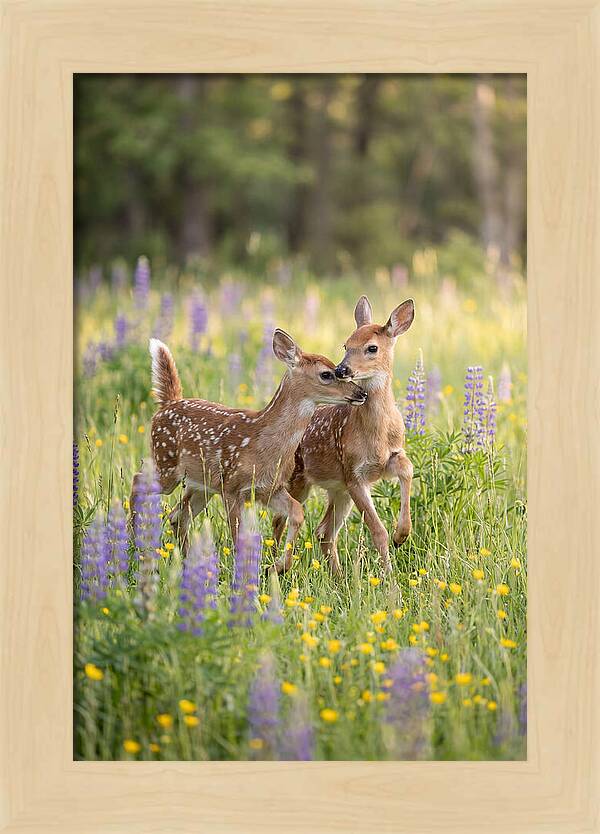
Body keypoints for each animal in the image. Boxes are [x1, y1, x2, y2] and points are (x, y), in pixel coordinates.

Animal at [131, 331, 367, 560]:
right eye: (327, 374)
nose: (361, 393)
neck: (264, 444)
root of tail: (167, 404)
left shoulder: (269, 488)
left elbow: (297, 513)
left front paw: (279, 566)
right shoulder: (232, 487)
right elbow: (238, 537)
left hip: (201, 484)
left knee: (177, 515)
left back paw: (186, 560)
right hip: (167, 464)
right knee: (138, 480)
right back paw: (133, 542)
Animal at [273, 296, 415, 575]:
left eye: (372, 348)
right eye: (346, 345)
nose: (342, 369)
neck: (377, 435)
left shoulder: (385, 460)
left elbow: (407, 468)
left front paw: (401, 534)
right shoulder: (353, 473)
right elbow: (377, 531)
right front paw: (390, 577)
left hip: (337, 490)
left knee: (324, 531)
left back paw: (338, 577)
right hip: (298, 480)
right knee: (279, 521)